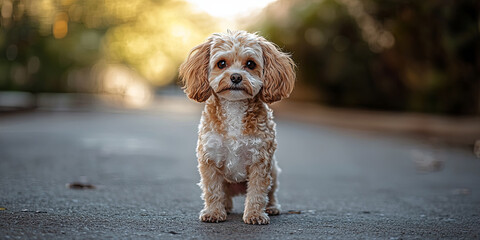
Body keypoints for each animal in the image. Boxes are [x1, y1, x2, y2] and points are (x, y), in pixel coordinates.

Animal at [179, 30, 294, 225]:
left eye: (250, 64)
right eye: (221, 63)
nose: (236, 77)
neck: (234, 107)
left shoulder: (260, 160)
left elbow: (257, 192)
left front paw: (255, 214)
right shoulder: (209, 158)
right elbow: (212, 190)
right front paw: (213, 212)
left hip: (274, 171)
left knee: (271, 193)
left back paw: (271, 208)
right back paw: (225, 206)